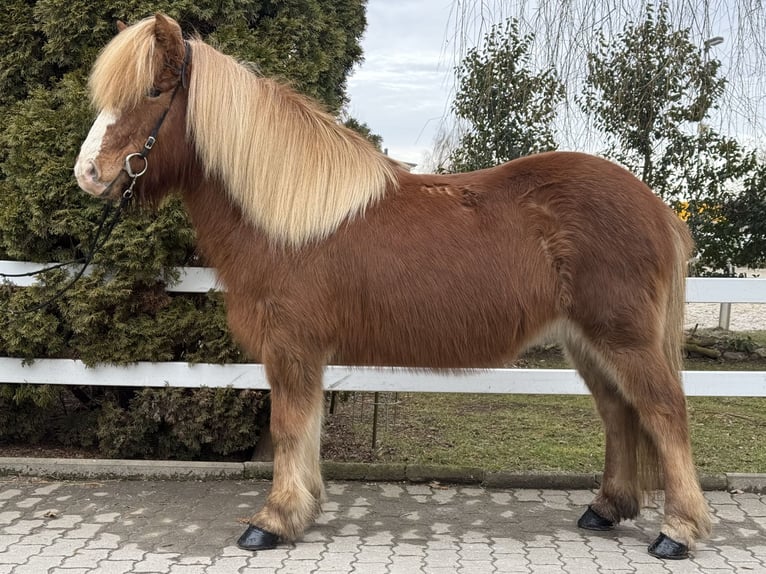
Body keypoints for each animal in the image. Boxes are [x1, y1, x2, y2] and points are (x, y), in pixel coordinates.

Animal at [74, 14, 711, 560]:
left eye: (154, 92)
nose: (88, 175)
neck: (289, 218)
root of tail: (658, 208)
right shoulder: (305, 354)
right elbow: (305, 429)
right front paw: (306, 508)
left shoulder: (291, 348)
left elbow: (287, 427)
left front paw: (274, 521)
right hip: (586, 341)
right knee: (620, 413)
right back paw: (606, 509)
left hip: (623, 337)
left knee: (663, 412)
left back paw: (677, 531)